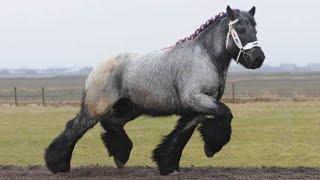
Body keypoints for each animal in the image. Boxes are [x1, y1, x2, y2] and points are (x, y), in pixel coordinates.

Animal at [45, 5, 264, 176]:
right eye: (241, 29)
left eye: (255, 28)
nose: (258, 58)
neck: (205, 57)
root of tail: (96, 68)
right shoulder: (197, 99)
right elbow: (226, 113)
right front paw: (210, 148)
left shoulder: (199, 107)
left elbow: (182, 134)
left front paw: (168, 165)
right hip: (95, 108)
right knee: (74, 128)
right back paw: (57, 164)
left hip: (130, 108)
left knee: (111, 123)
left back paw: (120, 156)